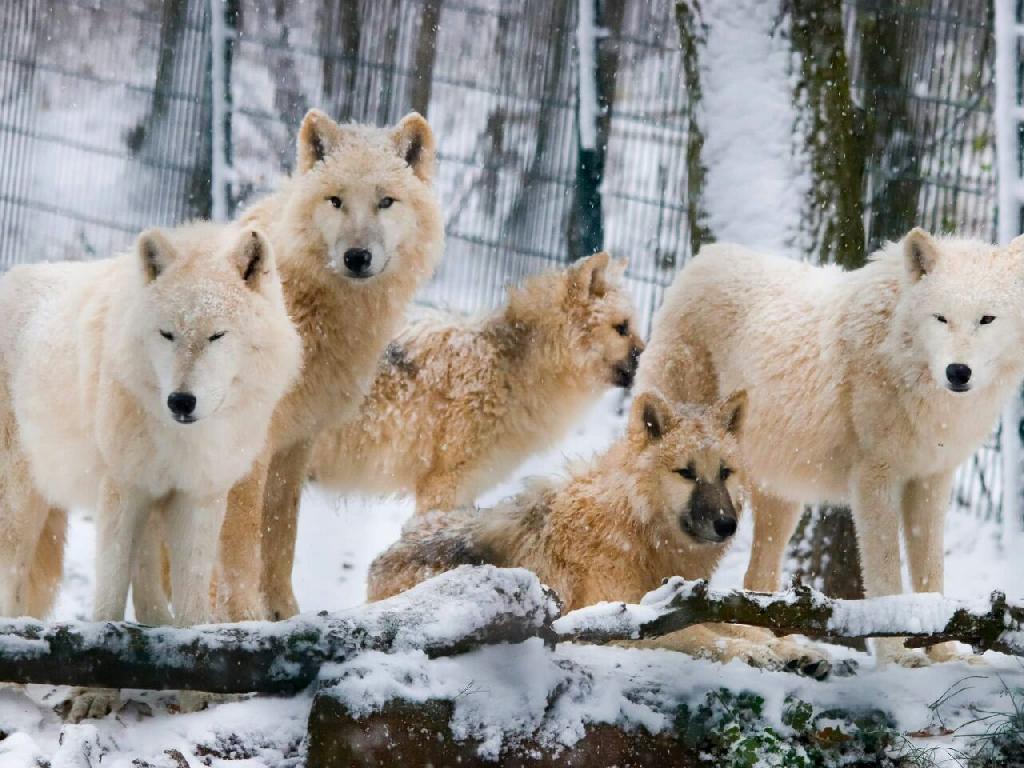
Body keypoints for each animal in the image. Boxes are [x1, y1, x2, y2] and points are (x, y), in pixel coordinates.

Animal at [0, 224, 301, 720]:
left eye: (217, 336)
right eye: (167, 334)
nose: (181, 401)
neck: (180, 437)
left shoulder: (197, 496)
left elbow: (193, 598)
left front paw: (197, 690)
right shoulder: (123, 490)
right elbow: (107, 595)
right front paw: (94, 694)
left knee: (145, 578)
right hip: (22, 500)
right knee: (12, 571)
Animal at [311, 256, 643, 514]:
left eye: (632, 327)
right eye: (621, 328)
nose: (649, 356)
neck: (512, 370)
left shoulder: (466, 489)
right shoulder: (443, 486)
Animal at [364, 391, 827, 671]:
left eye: (725, 473)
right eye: (686, 473)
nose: (727, 525)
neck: (637, 531)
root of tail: (380, 559)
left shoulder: (689, 602)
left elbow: (740, 626)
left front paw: (793, 648)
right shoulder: (620, 621)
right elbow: (704, 637)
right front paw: (760, 653)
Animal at [638, 230, 1024, 667]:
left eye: (986, 319)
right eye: (940, 318)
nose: (958, 372)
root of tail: (706, 256)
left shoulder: (932, 479)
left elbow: (932, 575)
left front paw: (944, 654)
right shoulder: (875, 480)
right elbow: (886, 576)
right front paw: (898, 656)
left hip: (782, 498)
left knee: (757, 580)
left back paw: (787, 649)